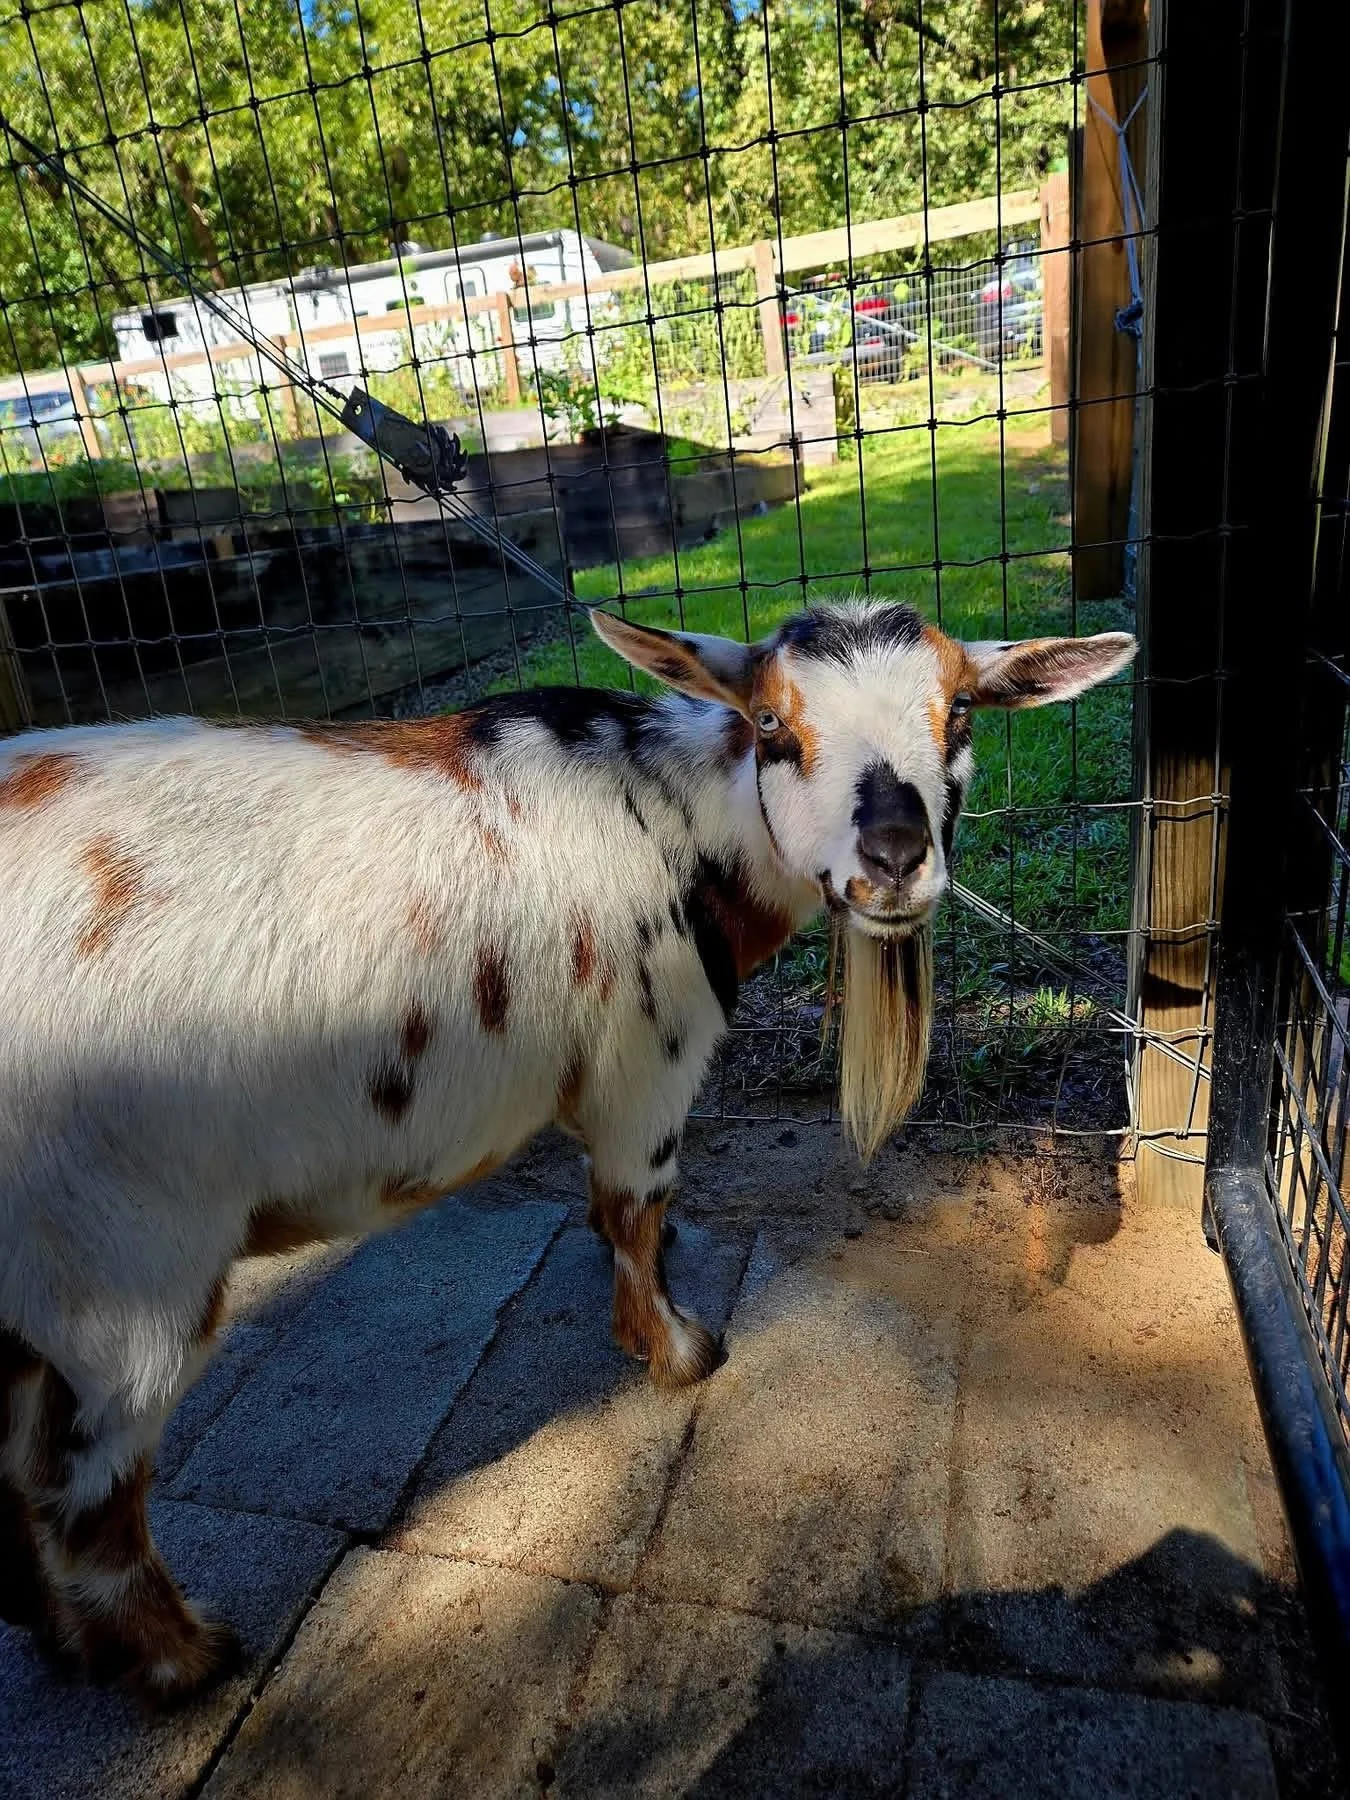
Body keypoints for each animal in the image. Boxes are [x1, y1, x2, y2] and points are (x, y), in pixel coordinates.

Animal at [0, 597, 1134, 1700]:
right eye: (774, 724)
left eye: (963, 713)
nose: (894, 861)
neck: (681, 815)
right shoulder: (647, 1063)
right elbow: (635, 1204)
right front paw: (678, 1351)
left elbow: (616, 1213)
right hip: (124, 1257)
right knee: (80, 1482)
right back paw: (181, 1661)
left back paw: (58, 1635)